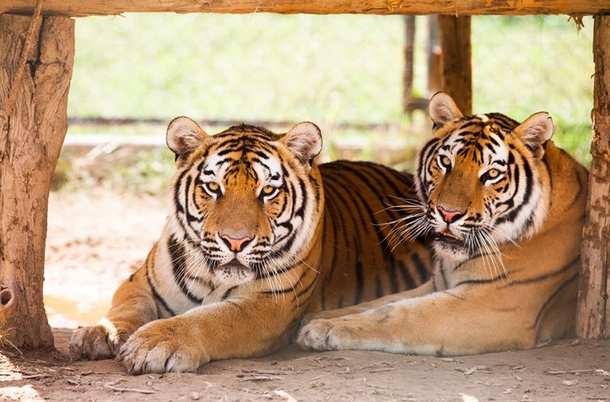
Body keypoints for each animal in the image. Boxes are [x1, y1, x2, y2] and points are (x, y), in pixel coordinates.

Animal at [69, 116, 430, 374]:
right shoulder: (139, 282)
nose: (236, 241)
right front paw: (98, 333)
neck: (212, 277)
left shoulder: (271, 304)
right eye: (213, 187)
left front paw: (154, 343)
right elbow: (125, 308)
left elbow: (211, 318)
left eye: (267, 191)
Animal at [296, 92, 588, 356]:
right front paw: (317, 316)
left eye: (492, 173)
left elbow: (397, 313)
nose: (448, 214)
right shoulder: (436, 284)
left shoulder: (493, 303)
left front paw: (321, 329)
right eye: (446, 161)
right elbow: (380, 302)